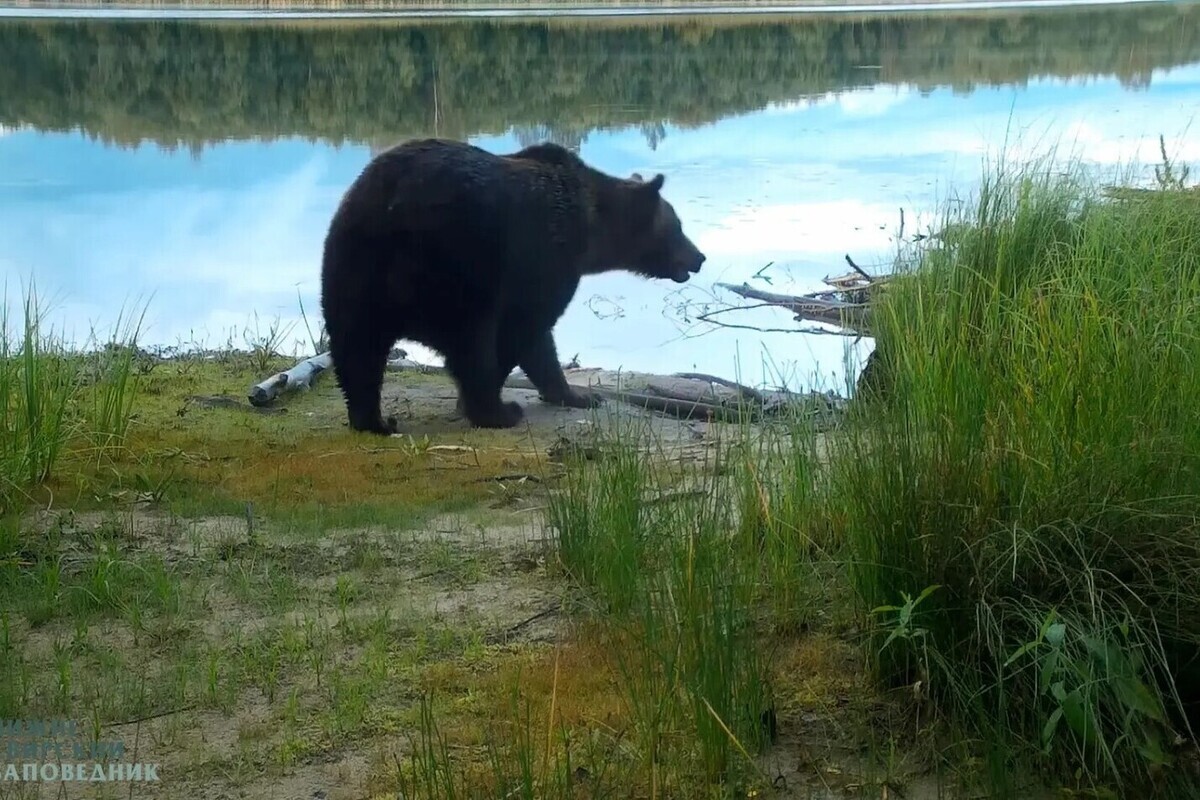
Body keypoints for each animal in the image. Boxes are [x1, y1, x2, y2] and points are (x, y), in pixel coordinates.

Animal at [318, 137, 707, 435]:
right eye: (678, 226)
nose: (699, 257)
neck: (591, 234)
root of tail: (394, 206)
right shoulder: (543, 258)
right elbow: (528, 331)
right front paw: (575, 394)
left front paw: (578, 395)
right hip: (459, 261)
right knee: (471, 337)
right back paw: (497, 412)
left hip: (353, 262)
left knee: (356, 347)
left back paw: (373, 419)